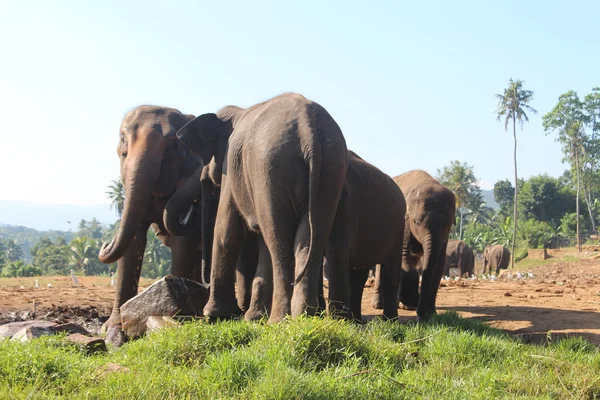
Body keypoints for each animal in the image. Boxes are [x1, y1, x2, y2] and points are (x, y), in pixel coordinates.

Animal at [175, 91, 346, 322]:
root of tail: (308, 129)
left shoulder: (231, 165)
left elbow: (226, 229)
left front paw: (215, 315)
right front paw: (253, 317)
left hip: (270, 168)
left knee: (277, 236)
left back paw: (279, 320)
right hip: (331, 166)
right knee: (312, 235)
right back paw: (303, 317)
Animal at [370, 169, 454, 322]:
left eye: (448, 224)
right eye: (417, 222)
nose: (421, 317)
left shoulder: (444, 238)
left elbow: (439, 265)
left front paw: (431, 312)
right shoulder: (404, 221)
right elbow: (403, 254)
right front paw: (411, 300)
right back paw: (379, 304)